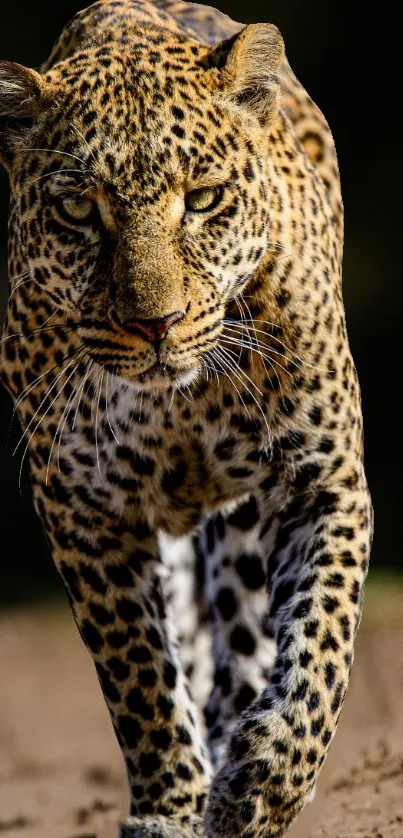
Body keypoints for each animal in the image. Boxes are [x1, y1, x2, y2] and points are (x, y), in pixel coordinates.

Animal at [0, 0, 374, 836]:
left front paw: (265, 781)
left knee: (246, 636)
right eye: (78, 208)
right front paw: (170, 806)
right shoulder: (81, 508)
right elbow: (138, 675)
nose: (156, 324)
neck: (181, 399)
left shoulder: (321, 479)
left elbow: (321, 643)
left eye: (202, 199)